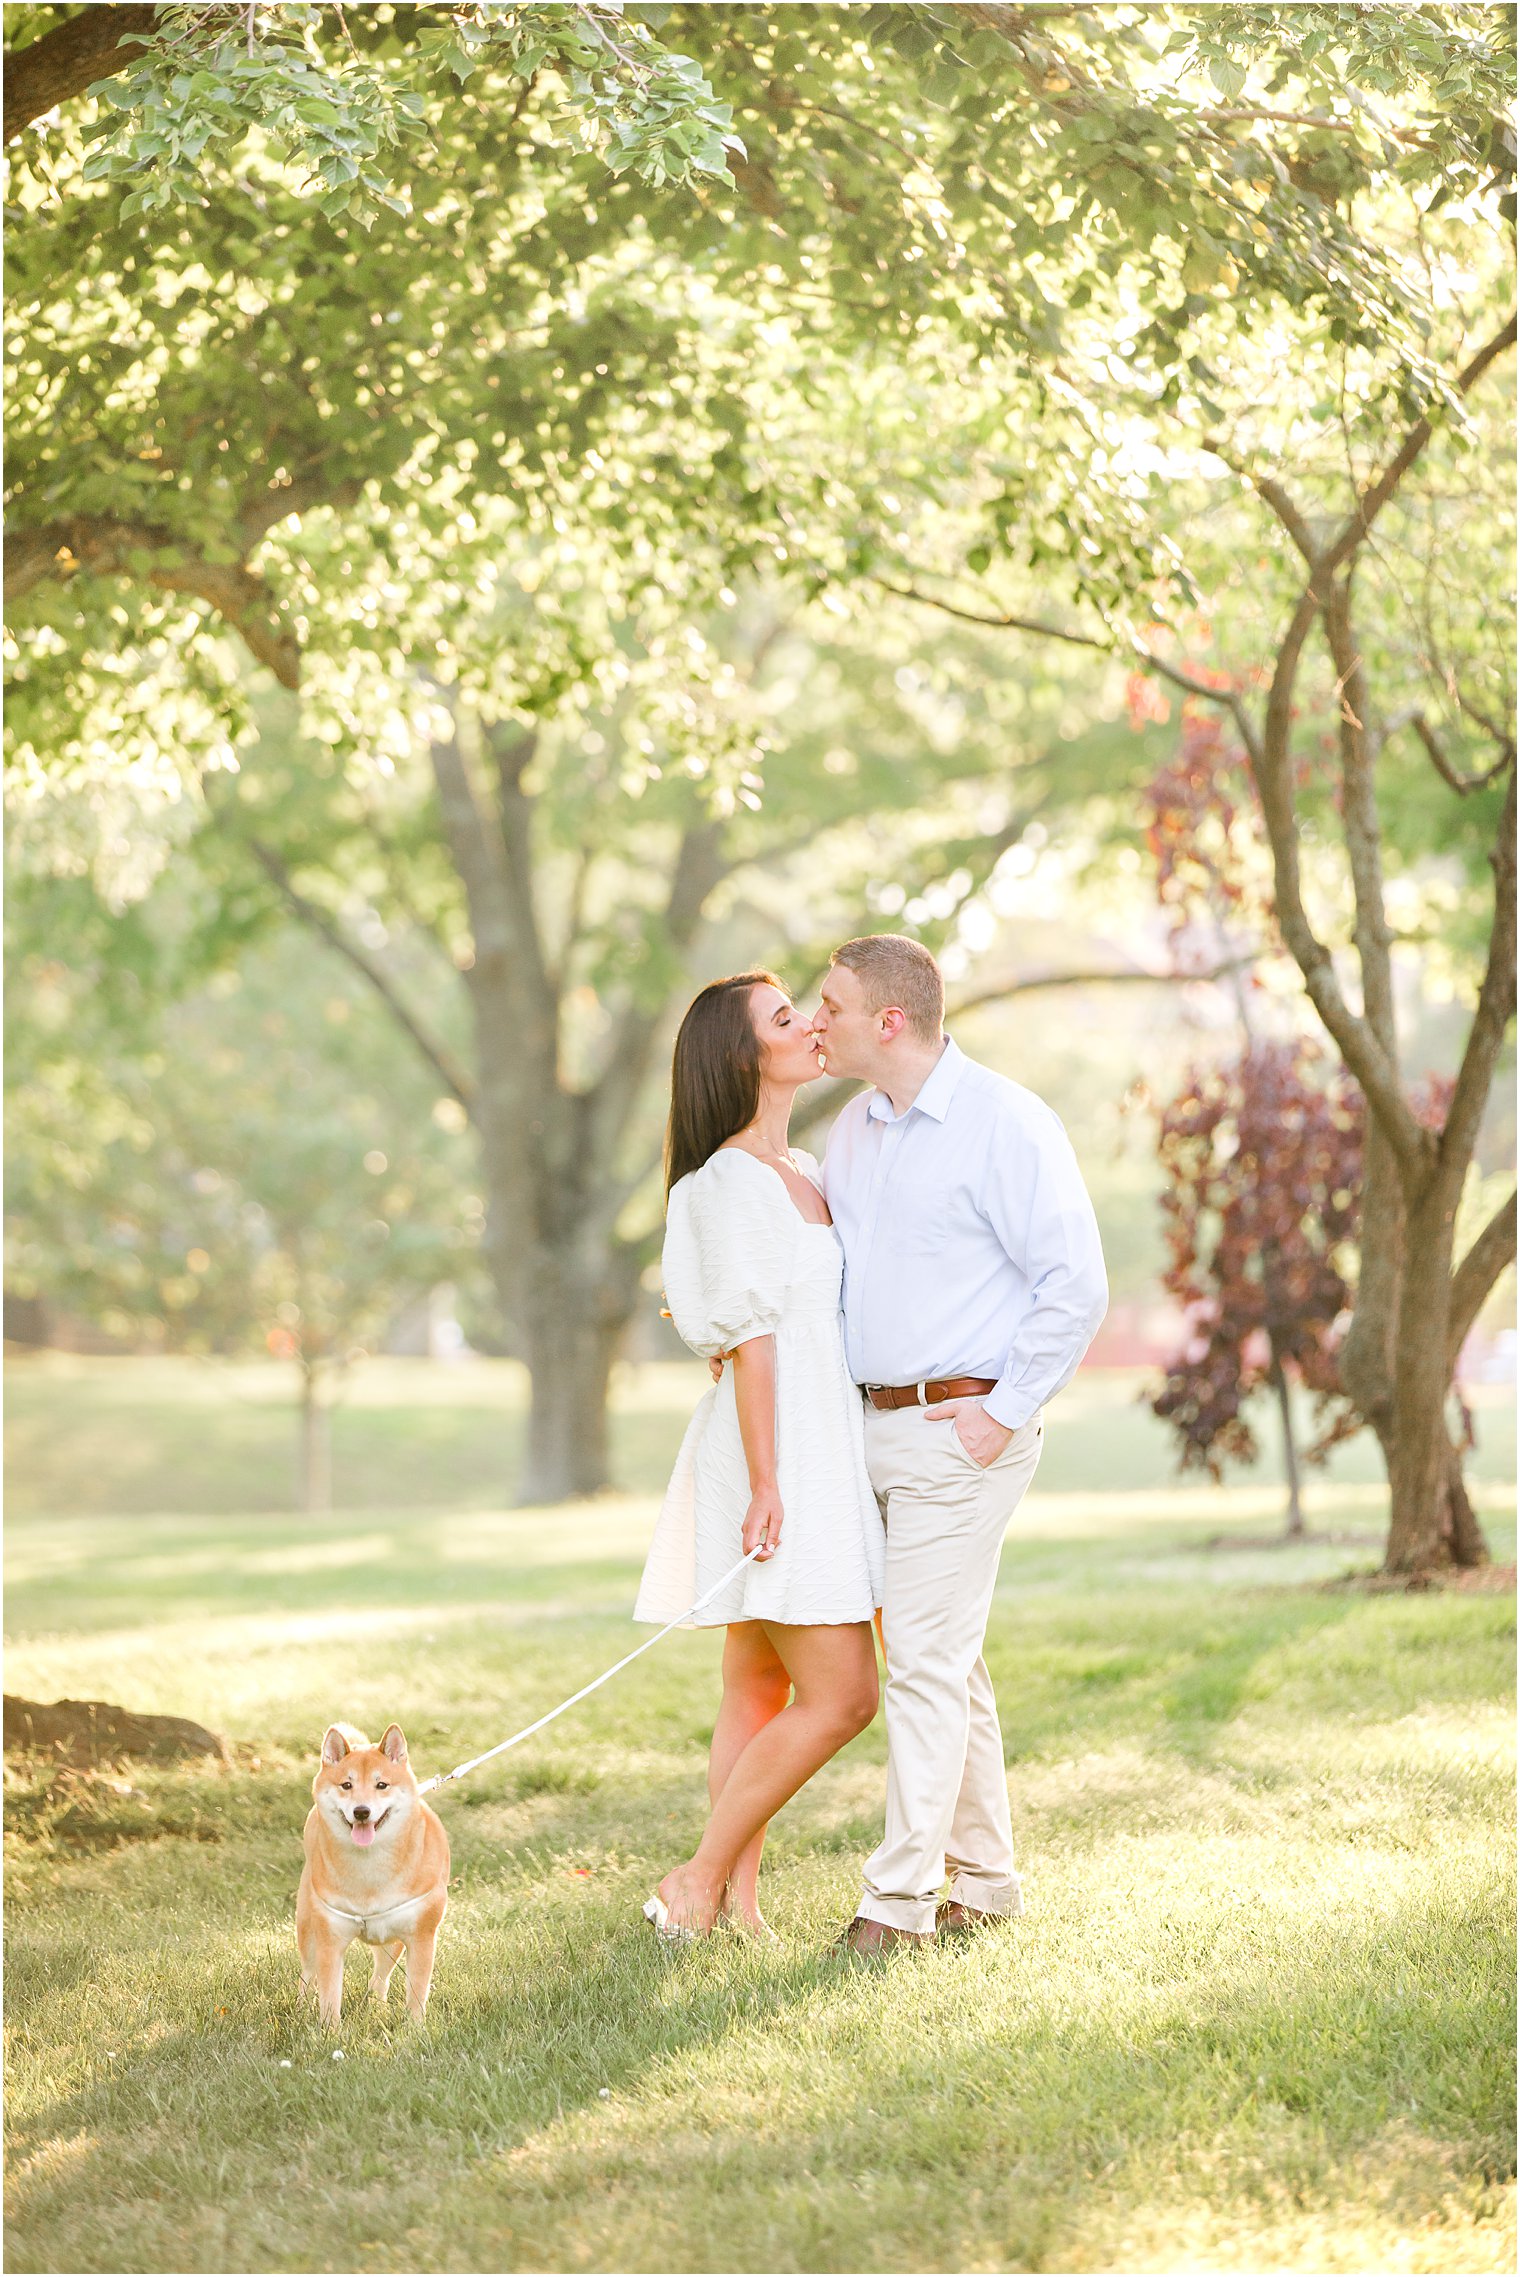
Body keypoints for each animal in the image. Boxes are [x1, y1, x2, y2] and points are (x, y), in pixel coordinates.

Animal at [295, 1712, 448, 2021]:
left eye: (382, 1785)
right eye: (346, 1785)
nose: (362, 1811)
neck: (369, 1874)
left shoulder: (421, 1937)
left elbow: (416, 1994)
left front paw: (414, 2028)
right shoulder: (330, 1940)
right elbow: (329, 1996)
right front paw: (329, 2030)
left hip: (392, 1941)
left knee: (381, 1976)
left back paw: (377, 2007)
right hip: (307, 1929)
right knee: (307, 1974)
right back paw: (302, 2008)